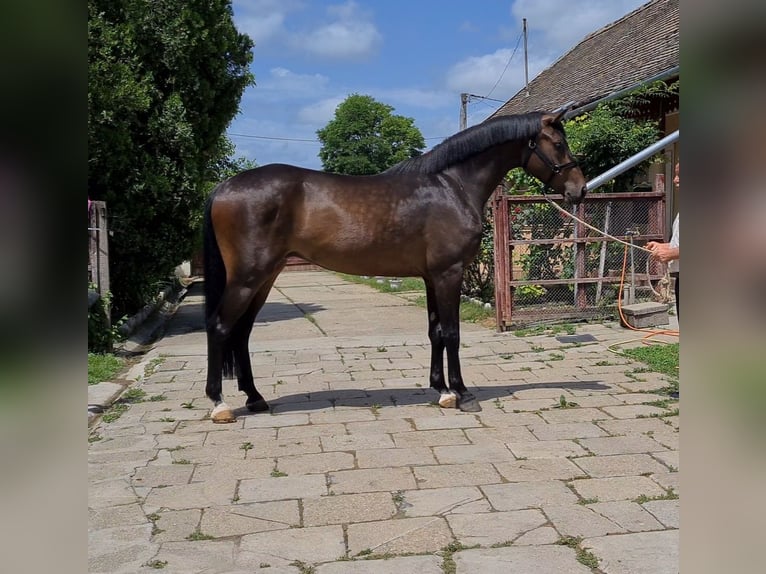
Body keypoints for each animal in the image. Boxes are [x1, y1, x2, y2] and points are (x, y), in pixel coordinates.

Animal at [201, 110, 584, 424]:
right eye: (559, 144)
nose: (578, 190)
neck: (453, 186)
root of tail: (224, 186)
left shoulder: (431, 277)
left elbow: (435, 332)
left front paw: (441, 390)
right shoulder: (449, 273)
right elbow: (453, 333)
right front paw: (462, 393)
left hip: (265, 278)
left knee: (242, 332)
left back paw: (255, 398)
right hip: (248, 277)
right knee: (220, 327)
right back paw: (219, 404)